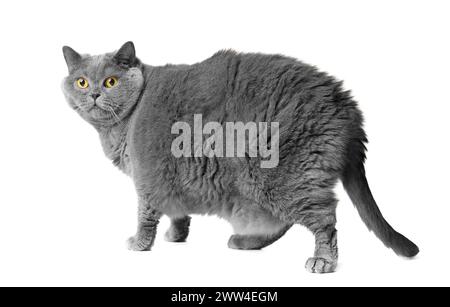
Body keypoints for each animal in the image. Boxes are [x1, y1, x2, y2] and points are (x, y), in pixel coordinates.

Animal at [60, 41, 418, 274]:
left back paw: (323, 261)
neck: (122, 125)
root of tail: (346, 105)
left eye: (111, 81)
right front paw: (177, 237)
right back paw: (244, 242)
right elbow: (178, 211)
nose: (93, 93)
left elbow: (146, 214)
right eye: (81, 81)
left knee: (325, 218)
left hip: (284, 175)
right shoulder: (172, 181)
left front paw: (140, 243)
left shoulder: (149, 175)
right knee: (281, 223)